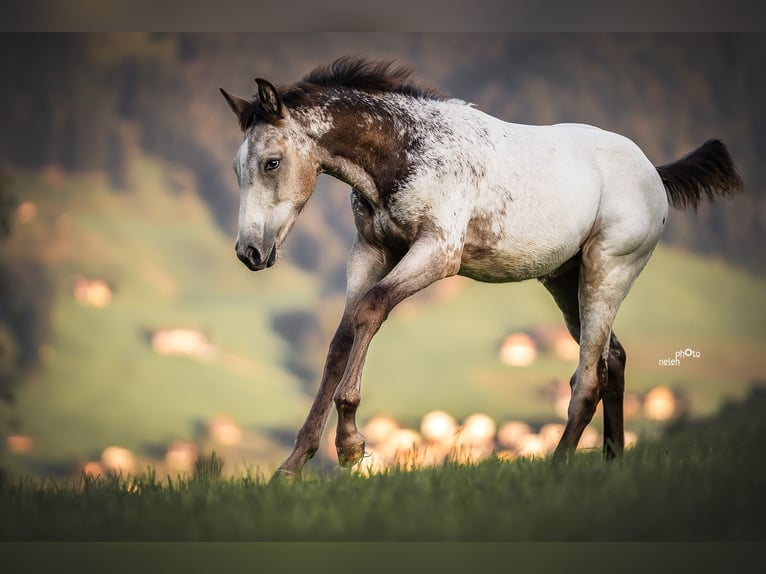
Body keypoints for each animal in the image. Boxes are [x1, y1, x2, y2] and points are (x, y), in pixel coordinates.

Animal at [220, 56, 743, 480]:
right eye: (237, 168)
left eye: (271, 162)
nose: (249, 252)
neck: (406, 150)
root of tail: (653, 171)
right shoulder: (369, 250)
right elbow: (340, 341)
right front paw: (292, 465)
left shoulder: (437, 252)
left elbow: (372, 309)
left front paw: (350, 447)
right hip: (564, 279)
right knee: (611, 360)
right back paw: (612, 464)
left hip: (606, 271)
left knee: (588, 376)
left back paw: (558, 468)